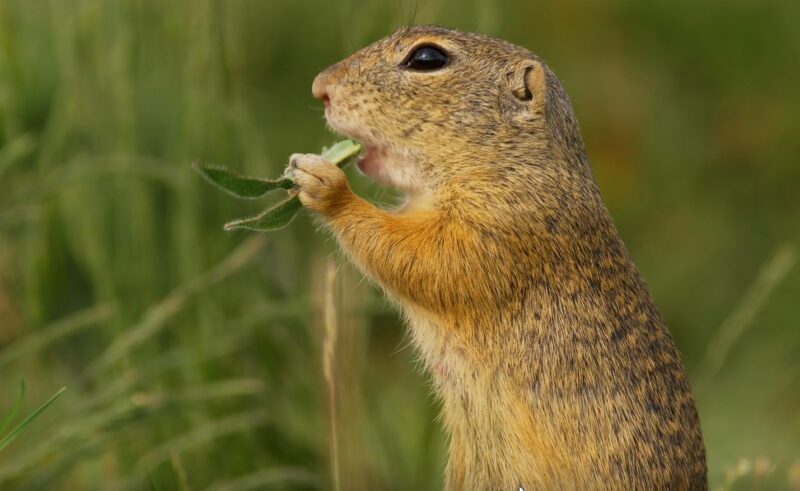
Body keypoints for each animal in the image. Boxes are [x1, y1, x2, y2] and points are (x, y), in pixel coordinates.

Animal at [290, 26, 708, 491]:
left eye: (427, 59)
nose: (320, 87)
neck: (513, 165)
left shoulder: (502, 228)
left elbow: (425, 260)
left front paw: (325, 184)